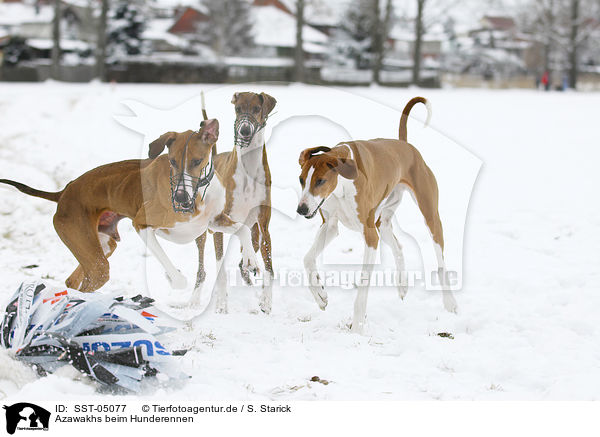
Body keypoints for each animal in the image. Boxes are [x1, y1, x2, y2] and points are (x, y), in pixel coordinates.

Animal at [298, 97, 458, 332]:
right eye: (301, 180)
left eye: (321, 181)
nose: (301, 209)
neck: (343, 184)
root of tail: (405, 144)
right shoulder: (330, 226)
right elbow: (308, 259)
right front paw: (320, 295)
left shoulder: (370, 235)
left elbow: (363, 287)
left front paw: (357, 327)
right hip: (383, 221)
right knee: (398, 246)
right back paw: (402, 285)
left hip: (430, 216)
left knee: (440, 262)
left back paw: (450, 303)